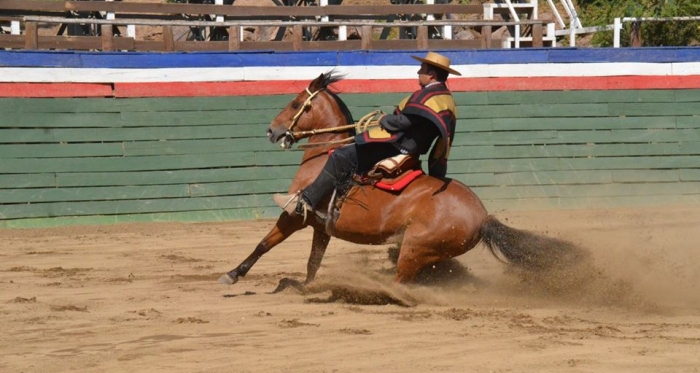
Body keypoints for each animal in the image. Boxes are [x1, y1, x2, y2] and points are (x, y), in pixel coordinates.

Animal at [221, 71, 584, 290]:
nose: (272, 131)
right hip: (432, 254)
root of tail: (483, 218)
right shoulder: (321, 227)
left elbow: (265, 243)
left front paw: (233, 274)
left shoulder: (297, 215)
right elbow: (312, 262)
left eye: (296, 103)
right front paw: (302, 284)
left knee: (400, 282)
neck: (326, 153)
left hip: (415, 248)